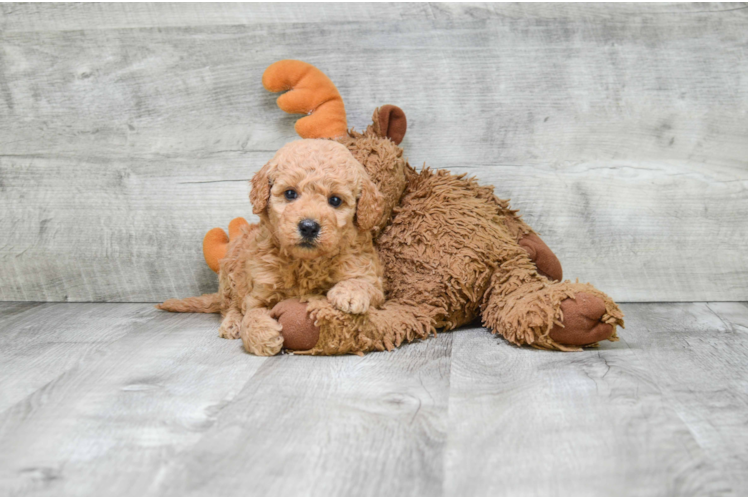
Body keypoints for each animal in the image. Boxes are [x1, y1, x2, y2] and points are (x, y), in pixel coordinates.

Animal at [156, 139, 386, 354]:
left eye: (335, 200)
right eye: (290, 194)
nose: (309, 227)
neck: (304, 263)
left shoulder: (371, 278)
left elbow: (364, 283)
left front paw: (350, 293)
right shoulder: (259, 290)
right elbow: (252, 313)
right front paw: (261, 336)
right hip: (231, 270)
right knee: (230, 305)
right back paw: (232, 324)